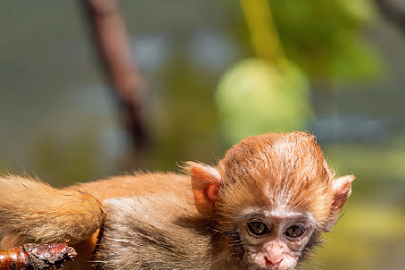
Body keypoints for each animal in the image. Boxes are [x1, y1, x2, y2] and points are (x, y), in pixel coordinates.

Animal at [0, 132, 354, 268]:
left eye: (294, 232)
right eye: (258, 228)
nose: (274, 257)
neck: (225, 243)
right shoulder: (189, 242)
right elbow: (122, 222)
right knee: (87, 212)